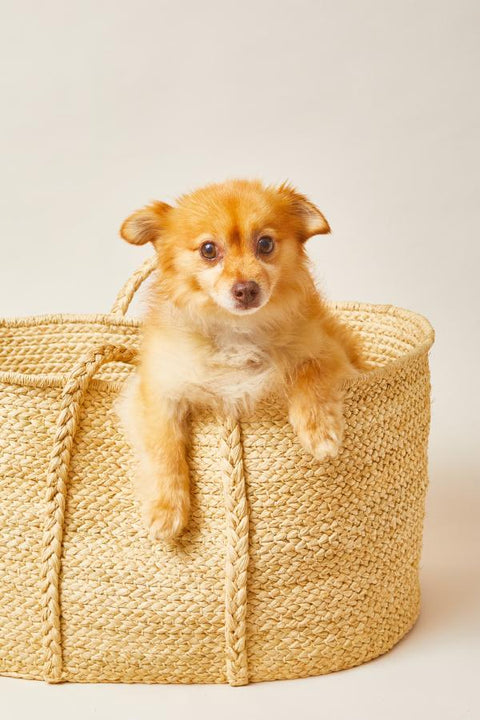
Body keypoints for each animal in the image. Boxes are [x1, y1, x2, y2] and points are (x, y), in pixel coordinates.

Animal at [118, 179, 366, 540]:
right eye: (208, 250)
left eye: (265, 243)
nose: (246, 289)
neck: (237, 331)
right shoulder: (157, 391)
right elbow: (164, 446)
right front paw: (167, 509)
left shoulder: (330, 352)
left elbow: (309, 371)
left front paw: (319, 430)